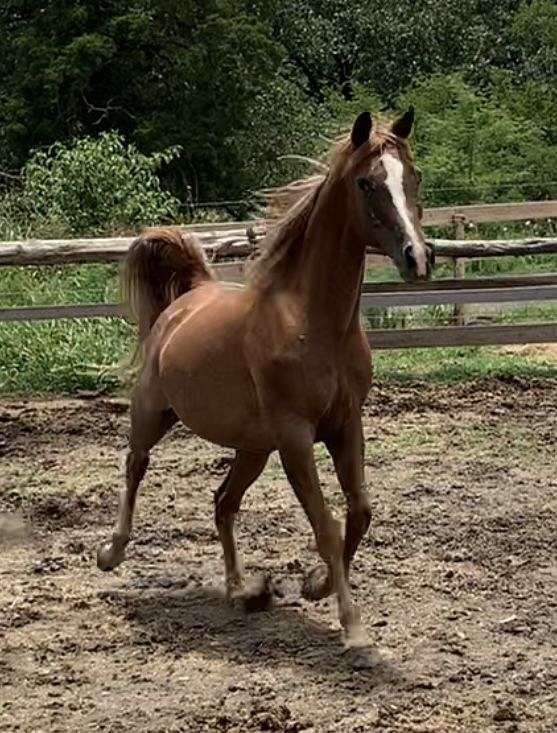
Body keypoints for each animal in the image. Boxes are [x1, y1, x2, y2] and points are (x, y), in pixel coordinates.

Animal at [97, 108, 433, 647]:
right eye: (366, 182)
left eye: (413, 176)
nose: (418, 259)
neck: (313, 324)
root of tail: (188, 297)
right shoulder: (296, 437)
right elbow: (327, 524)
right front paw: (353, 626)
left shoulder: (346, 426)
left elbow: (359, 511)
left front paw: (316, 584)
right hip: (153, 411)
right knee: (135, 464)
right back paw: (112, 553)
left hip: (253, 447)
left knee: (222, 502)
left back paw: (241, 590)